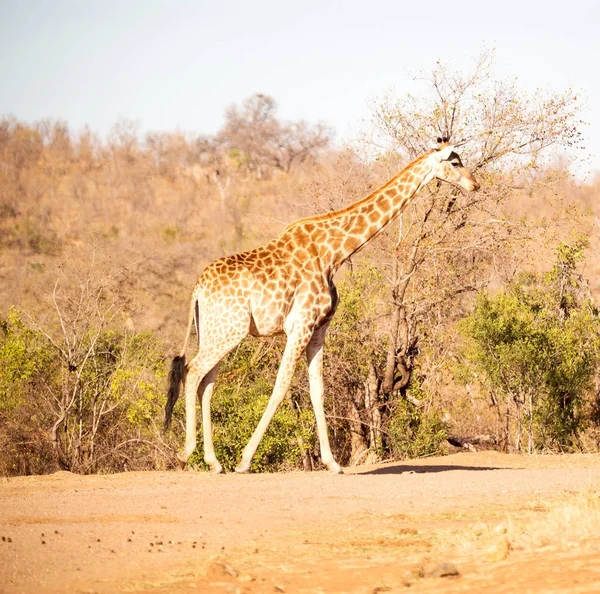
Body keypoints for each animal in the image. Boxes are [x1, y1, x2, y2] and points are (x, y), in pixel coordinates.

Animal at [165, 138, 482, 472]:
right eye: (455, 163)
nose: (474, 184)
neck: (333, 253)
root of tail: (197, 289)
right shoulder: (300, 325)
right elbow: (281, 386)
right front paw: (245, 460)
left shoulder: (319, 327)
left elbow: (318, 391)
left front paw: (332, 462)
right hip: (230, 331)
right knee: (193, 371)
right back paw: (186, 453)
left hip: (215, 331)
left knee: (206, 382)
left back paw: (213, 462)